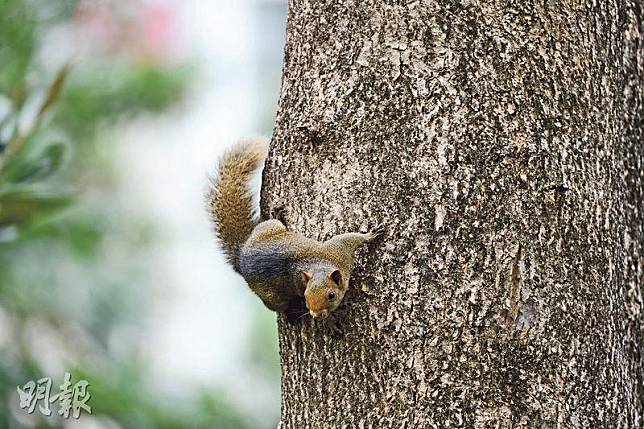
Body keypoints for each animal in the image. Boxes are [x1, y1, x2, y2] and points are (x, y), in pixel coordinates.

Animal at [206, 137, 382, 324]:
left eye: (331, 295)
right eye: (305, 297)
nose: (315, 315)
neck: (323, 264)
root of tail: (241, 258)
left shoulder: (339, 248)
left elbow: (352, 238)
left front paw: (371, 234)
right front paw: (330, 322)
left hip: (269, 227)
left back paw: (276, 213)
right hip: (272, 298)